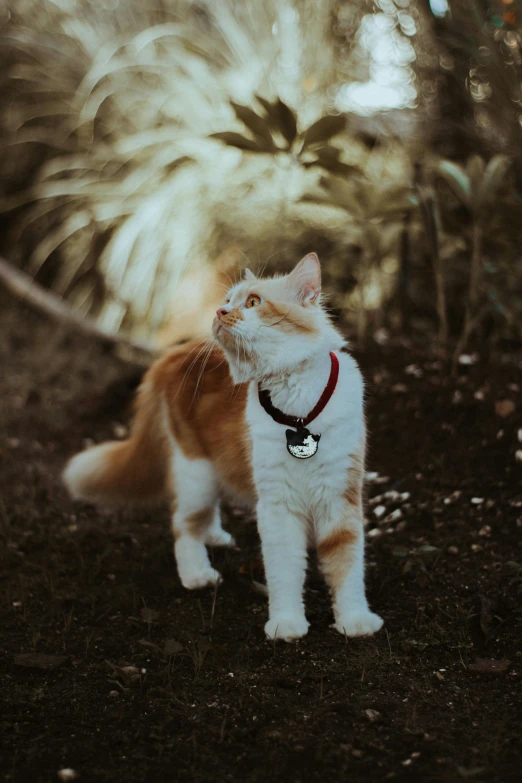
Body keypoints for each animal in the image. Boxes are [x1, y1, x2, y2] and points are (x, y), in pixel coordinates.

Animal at [64, 254, 382, 640]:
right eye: (228, 300)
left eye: (254, 302)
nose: (219, 311)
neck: (298, 409)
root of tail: (173, 353)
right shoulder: (277, 506)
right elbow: (285, 570)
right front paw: (287, 623)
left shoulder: (340, 495)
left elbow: (347, 566)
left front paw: (354, 620)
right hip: (195, 471)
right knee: (183, 525)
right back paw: (197, 573)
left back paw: (214, 535)